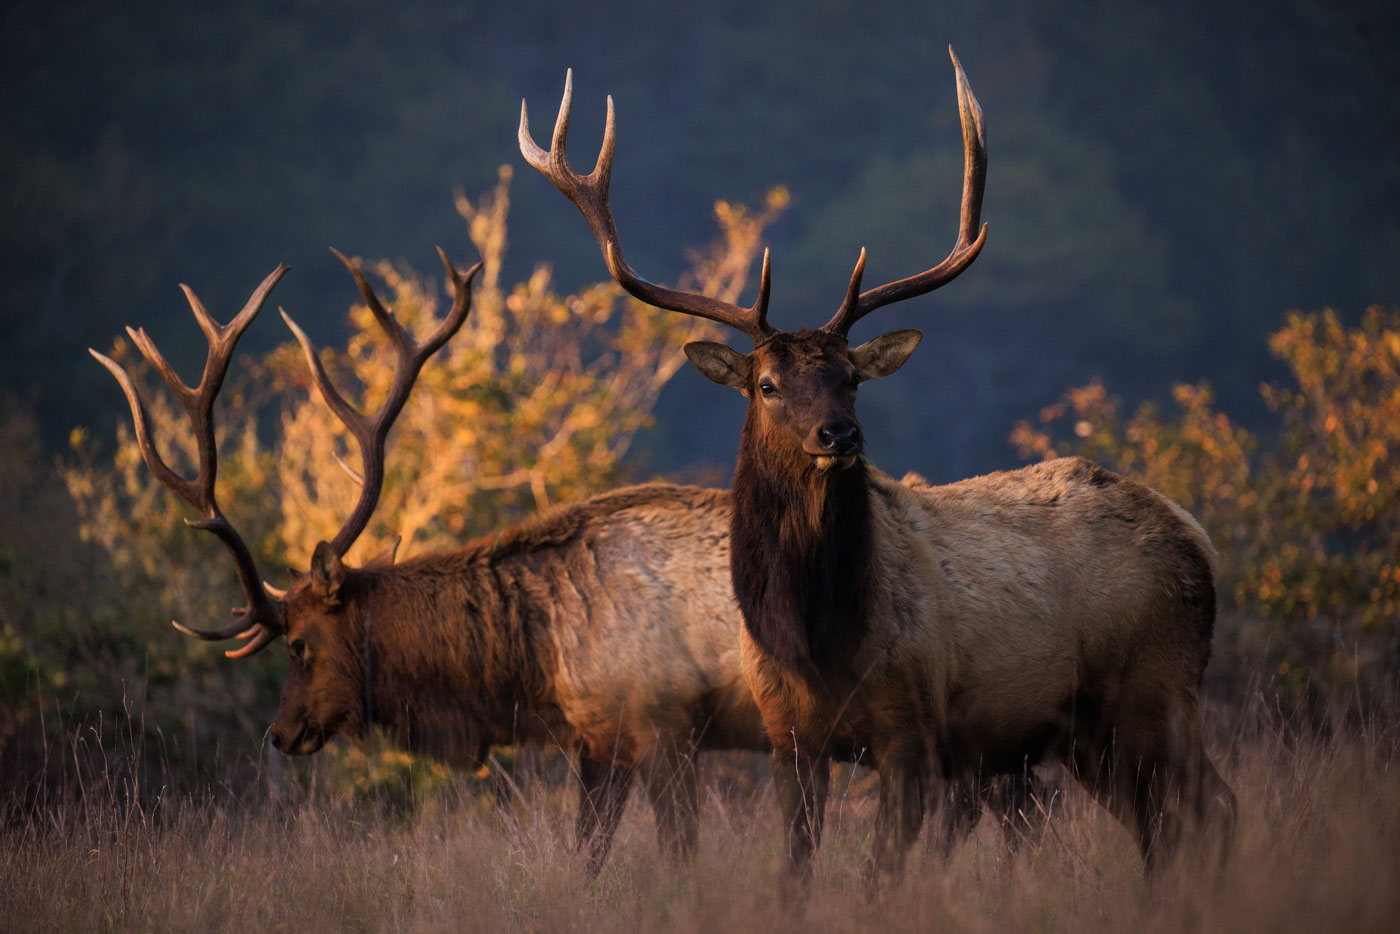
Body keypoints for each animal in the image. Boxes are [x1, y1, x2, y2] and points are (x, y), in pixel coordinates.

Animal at [90, 249, 768, 875]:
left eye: (299, 644)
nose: (280, 733)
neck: (539, 664)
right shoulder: (601, 740)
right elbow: (589, 857)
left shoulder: (662, 723)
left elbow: (675, 857)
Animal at [520, 47, 1237, 887]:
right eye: (767, 385)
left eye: (851, 377)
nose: (839, 434)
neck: (818, 639)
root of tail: (1196, 537)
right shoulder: (789, 739)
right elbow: (795, 873)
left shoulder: (914, 731)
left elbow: (881, 879)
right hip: (1092, 729)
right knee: (1171, 822)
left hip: (1156, 689)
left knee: (1209, 809)